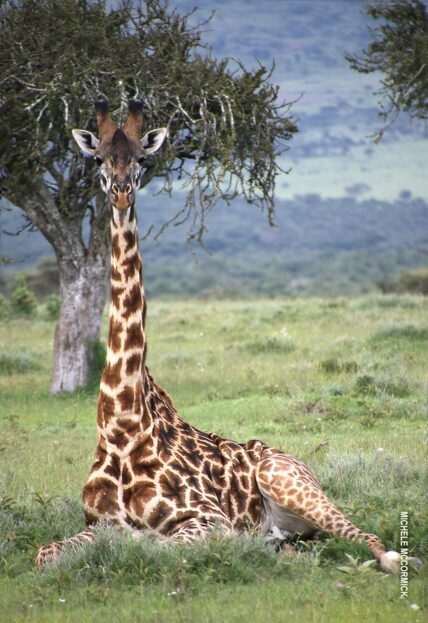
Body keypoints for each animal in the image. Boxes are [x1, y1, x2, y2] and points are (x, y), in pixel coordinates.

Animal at [38, 100, 410, 572]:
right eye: (99, 158)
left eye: (142, 159)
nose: (121, 193)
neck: (122, 427)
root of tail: (289, 456)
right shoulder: (96, 523)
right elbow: (45, 554)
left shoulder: (208, 520)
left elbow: (157, 547)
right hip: (296, 526)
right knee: (303, 542)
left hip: (284, 478)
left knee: (366, 536)